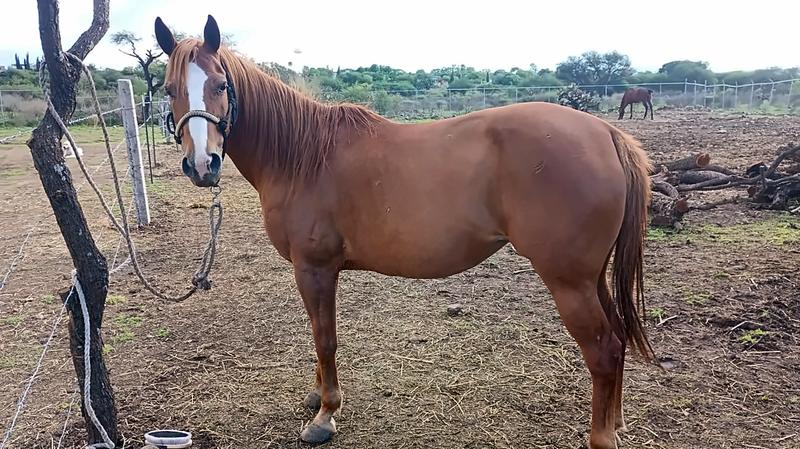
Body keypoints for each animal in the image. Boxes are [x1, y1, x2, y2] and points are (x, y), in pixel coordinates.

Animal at [155, 15, 655, 449]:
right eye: (170, 89)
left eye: (221, 85)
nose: (202, 165)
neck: (301, 155)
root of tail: (607, 133)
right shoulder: (314, 270)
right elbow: (318, 333)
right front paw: (317, 397)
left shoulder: (314, 268)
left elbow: (325, 337)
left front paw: (325, 416)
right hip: (591, 277)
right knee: (617, 339)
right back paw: (616, 422)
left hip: (568, 281)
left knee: (603, 349)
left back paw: (601, 437)